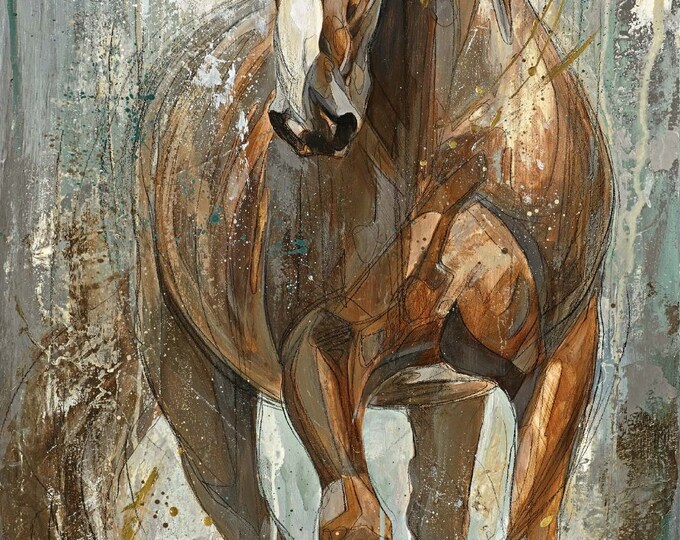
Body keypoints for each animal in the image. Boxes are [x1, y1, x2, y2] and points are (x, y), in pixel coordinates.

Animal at [134, 0, 613, 538]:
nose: (307, 118)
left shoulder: (561, 354)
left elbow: (532, 515)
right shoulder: (315, 351)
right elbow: (354, 515)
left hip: (446, 402)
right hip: (196, 402)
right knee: (242, 507)